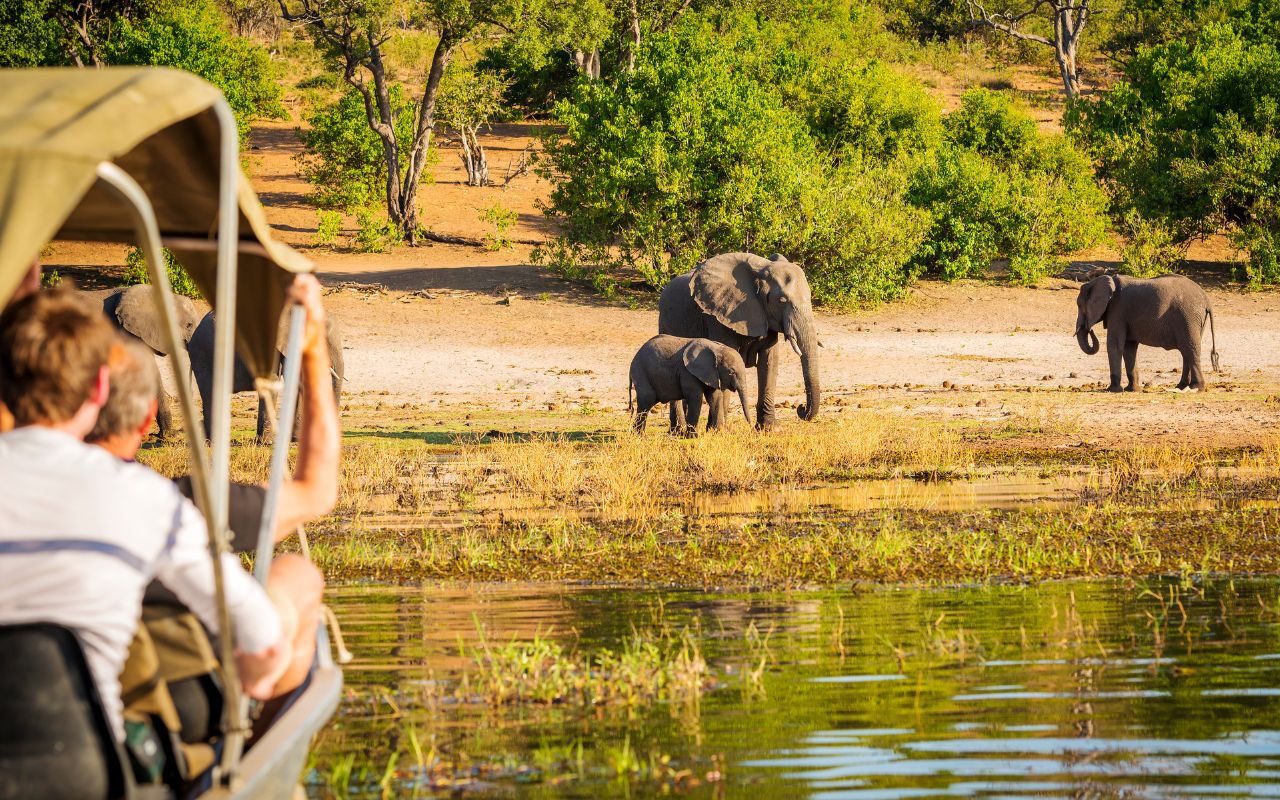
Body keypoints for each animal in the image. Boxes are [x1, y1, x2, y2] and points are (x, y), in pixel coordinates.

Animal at [655, 250, 824, 427]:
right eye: (782, 301)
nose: (801, 408)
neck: (761, 270)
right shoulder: (718, 316)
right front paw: (719, 429)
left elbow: (769, 361)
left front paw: (769, 428)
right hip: (665, 322)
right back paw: (679, 430)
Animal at [1070, 271, 1218, 389]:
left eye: (1079, 305)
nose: (1089, 329)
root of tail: (1207, 300)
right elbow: (1129, 348)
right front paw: (1132, 390)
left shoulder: (1118, 311)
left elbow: (1115, 345)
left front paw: (1113, 390)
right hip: (1194, 320)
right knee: (1186, 351)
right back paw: (1181, 386)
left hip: (1188, 317)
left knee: (1190, 349)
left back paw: (1196, 387)